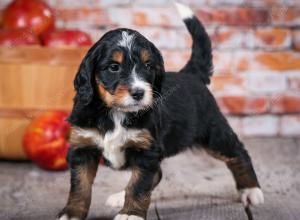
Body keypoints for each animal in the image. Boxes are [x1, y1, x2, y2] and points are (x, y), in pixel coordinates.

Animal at [57, 3, 264, 220]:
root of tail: (191, 74)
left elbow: (139, 185)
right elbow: (80, 186)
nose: (138, 92)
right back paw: (119, 197)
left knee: (238, 152)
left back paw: (251, 191)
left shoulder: (146, 150)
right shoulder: (83, 147)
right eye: (114, 67)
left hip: (213, 133)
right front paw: (72, 213)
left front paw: (131, 214)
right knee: (156, 174)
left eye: (148, 66)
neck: (115, 113)